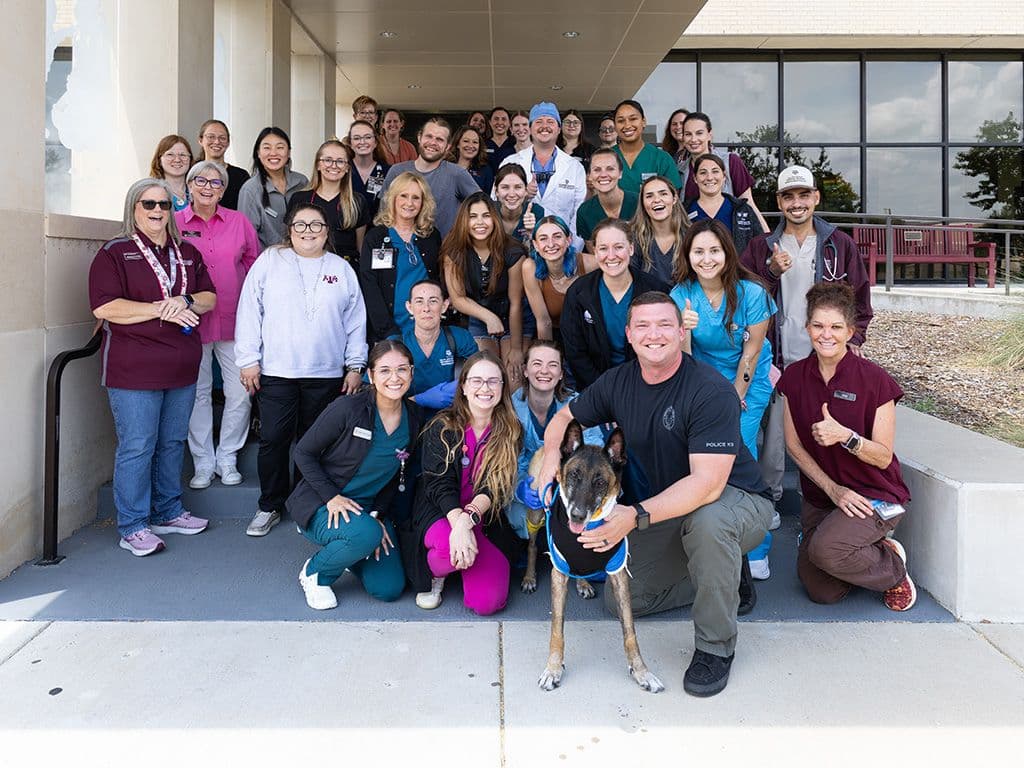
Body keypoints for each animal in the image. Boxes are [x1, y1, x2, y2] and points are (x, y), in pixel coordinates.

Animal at [532, 423, 667, 696]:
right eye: (574, 475)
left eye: (600, 482)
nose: (577, 515)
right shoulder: (558, 573)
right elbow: (557, 629)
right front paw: (553, 669)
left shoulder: (618, 574)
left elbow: (630, 631)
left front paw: (641, 671)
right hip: (534, 512)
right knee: (530, 545)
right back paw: (528, 577)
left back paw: (583, 583)